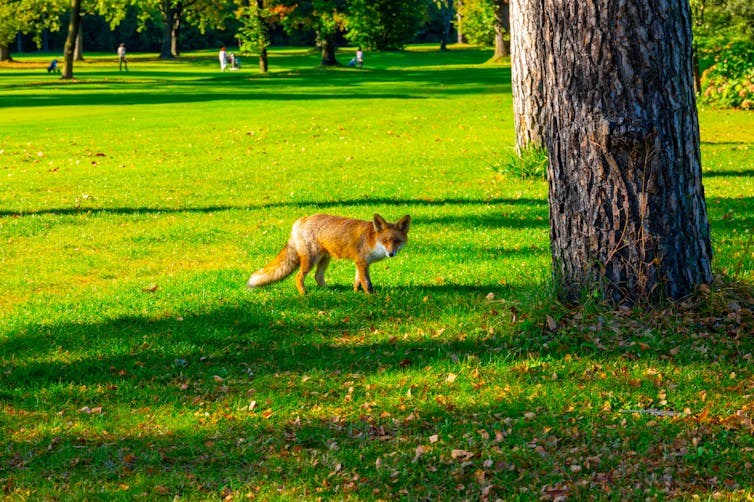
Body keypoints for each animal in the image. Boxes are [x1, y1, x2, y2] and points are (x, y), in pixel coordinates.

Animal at [246, 213, 411, 295]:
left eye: (397, 241)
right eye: (385, 240)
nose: (391, 253)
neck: (371, 240)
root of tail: (299, 221)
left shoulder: (360, 263)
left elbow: (357, 281)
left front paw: (355, 293)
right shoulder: (362, 262)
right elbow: (366, 283)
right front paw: (371, 296)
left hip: (325, 259)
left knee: (318, 277)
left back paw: (329, 291)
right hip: (310, 260)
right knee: (299, 277)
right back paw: (304, 294)